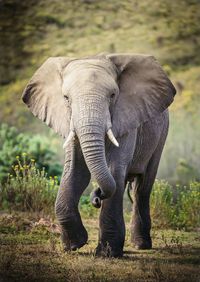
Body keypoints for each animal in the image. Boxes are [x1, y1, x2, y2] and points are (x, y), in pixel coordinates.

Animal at [21, 53, 175, 258]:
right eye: (66, 98)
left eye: (113, 96)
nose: (96, 198)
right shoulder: (69, 122)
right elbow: (75, 171)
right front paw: (74, 245)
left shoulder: (125, 117)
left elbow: (115, 169)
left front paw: (108, 254)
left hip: (162, 132)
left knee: (142, 186)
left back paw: (141, 245)